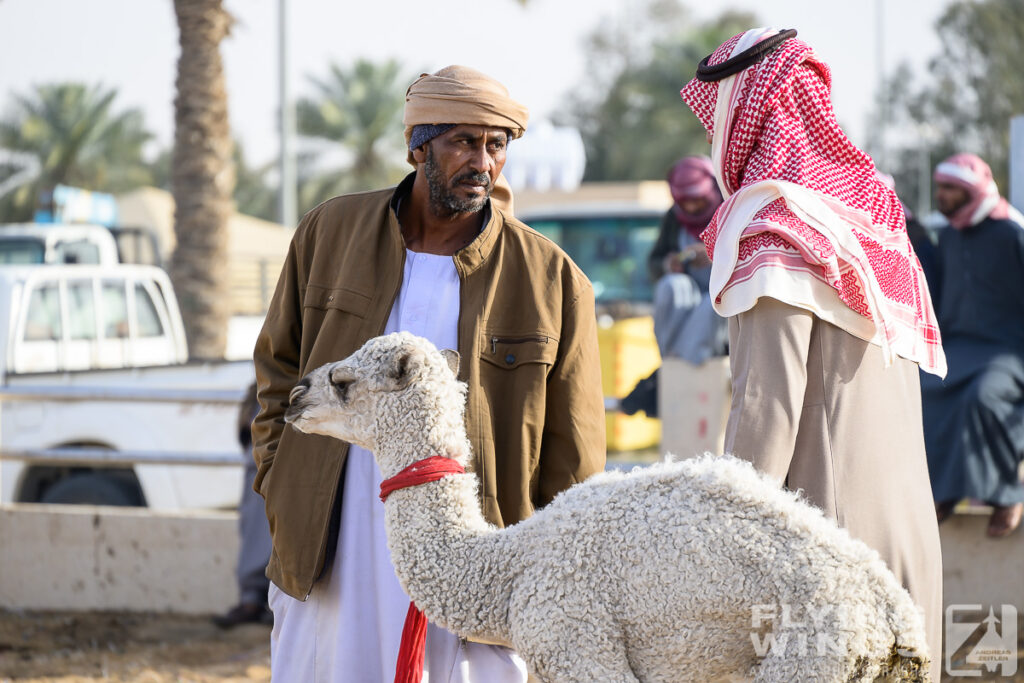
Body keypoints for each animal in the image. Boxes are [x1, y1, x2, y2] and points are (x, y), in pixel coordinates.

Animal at [284, 329, 933, 679]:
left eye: (344, 381)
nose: (294, 394)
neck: (509, 567)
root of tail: (893, 614)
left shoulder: (579, 645)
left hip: (809, 653)